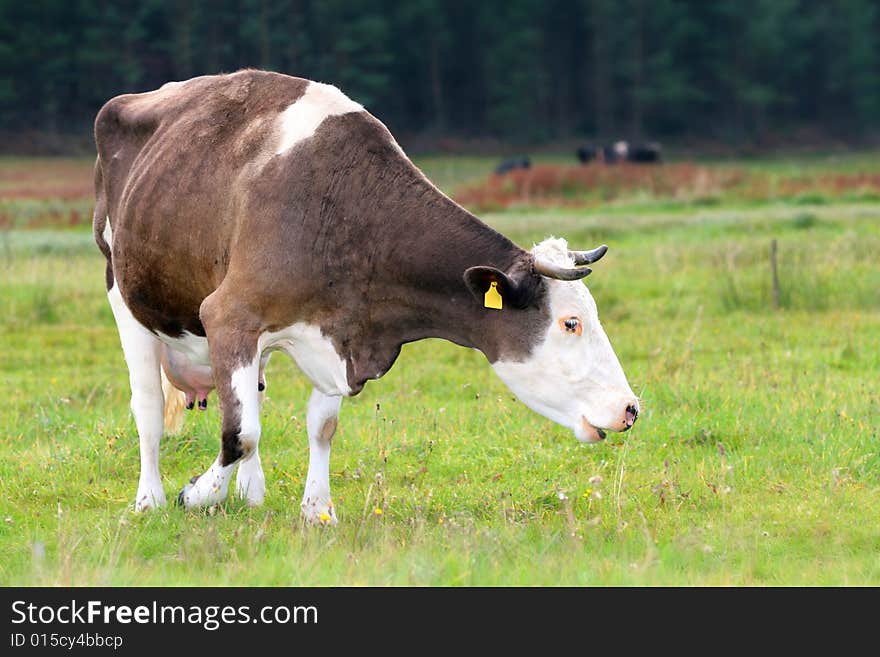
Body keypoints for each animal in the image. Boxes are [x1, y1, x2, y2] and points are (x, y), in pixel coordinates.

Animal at [93, 70, 640, 524]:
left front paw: (317, 511)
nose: (631, 407)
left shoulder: (339, 332)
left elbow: (319, 425)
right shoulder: (229, 316)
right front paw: (197, 495)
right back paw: (150, 500)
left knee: (250, 399)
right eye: (571, 322)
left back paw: (251, 492)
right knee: (150, 408)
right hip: (124, 295)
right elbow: (240, 432)